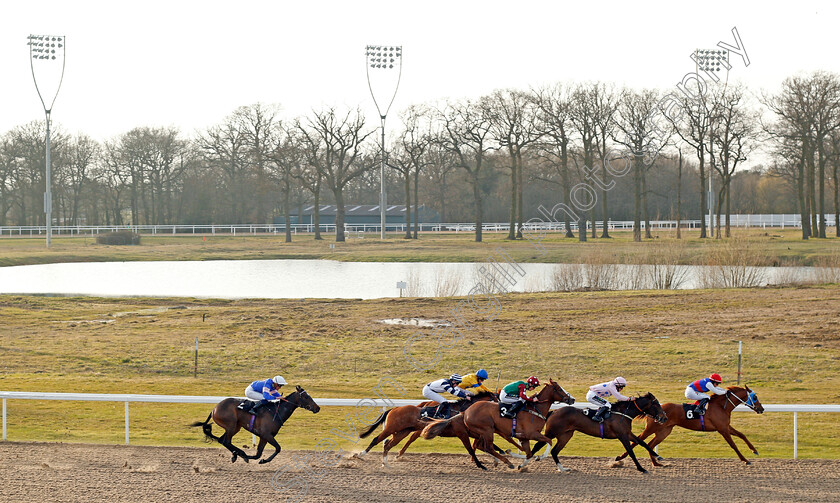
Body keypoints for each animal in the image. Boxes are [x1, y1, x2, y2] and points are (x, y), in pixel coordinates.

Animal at [192, 386, 320, 464]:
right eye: (306, 396)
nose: (317, 408)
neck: (276, 411)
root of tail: (214, 409)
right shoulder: (267, 434)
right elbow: (278, 448)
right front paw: (247, 457)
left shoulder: (264, 437)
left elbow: (259, 454)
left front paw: (261, 460)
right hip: (231, 426)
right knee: (226, 441)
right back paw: (240, 453)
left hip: (235, 427)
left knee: (222, 440)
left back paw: (236, 454)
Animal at [356, 390, 498, 468]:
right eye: (496, 399)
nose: (499, 411)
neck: (462, 410)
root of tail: (395, 408)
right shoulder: (462, 432)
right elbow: (473, 448)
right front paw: (482, 464)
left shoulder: (473, 432)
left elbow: (487, 445)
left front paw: (496, 459)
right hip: (391, 428)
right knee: (376, 439)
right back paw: (359, 455)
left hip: (402, 432)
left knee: (388, 445)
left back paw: (385, 463)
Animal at [424, 380, 576, 470]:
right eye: (558, 388)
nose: (572, 399)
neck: (535, 409)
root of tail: (465, 411)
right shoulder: (531, 434)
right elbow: (548, 441)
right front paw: (540, 457)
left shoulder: (524, 437)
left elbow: (528, 453)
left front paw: (522, 464)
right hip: (486, 430)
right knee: (488, 447)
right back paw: (506, 462)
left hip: (481, 432)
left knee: (483, 446)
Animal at [508, 394, 668, 472]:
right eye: (656, 404)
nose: (664, 417)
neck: (623, 413)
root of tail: (554, 411)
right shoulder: (622, 436)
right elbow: (631, 451)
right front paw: (641, 468)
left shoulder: (627, 433)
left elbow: (642, 443)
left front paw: (659, 456)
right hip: (552, 432)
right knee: (538, 446)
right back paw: (523, 465)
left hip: (566, 434)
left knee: (554, 451)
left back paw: (562, 469)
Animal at [612, 386, 764, 468]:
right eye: (755, 397)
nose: (761, 409)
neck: (721, 406)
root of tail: (657, 409)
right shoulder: (722, 429)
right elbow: (733, 445)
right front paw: (745, 460)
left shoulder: (726, 427)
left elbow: (742, 435)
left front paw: (755, 451)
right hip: (651, 428)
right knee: (638, 439)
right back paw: (619, 458)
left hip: (664, 431)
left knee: (650, 444)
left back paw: (656, 463)